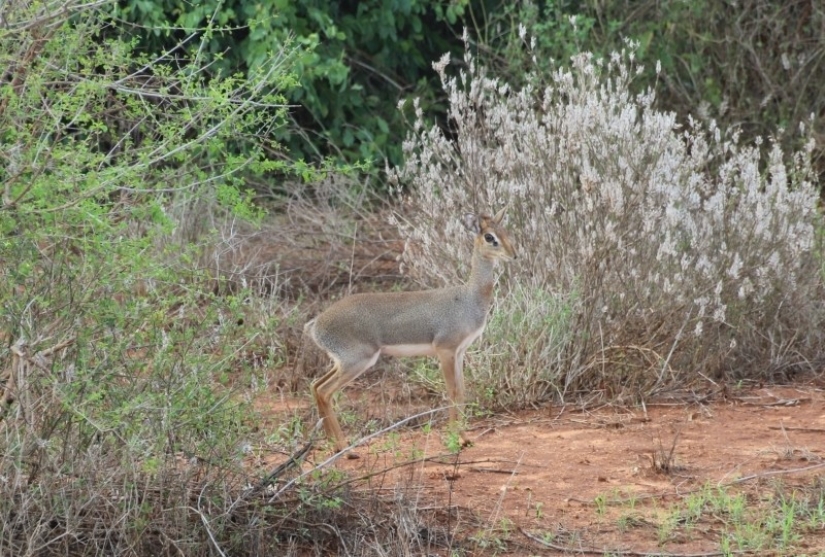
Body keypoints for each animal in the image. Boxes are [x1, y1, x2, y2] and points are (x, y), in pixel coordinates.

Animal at [308, 207, 516, 452]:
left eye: (505, 231)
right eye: (489, 237)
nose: (513, 254)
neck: (468, 298)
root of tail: (316, 325)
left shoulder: (459, 353)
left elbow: (462, 392)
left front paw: (465, 438)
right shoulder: (445, 350)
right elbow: (452, 392)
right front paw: (455, 439)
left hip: (342, 362)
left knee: (315, 386)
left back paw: (336, 445)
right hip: (357, 361)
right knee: (325, 391)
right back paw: (344, 448)